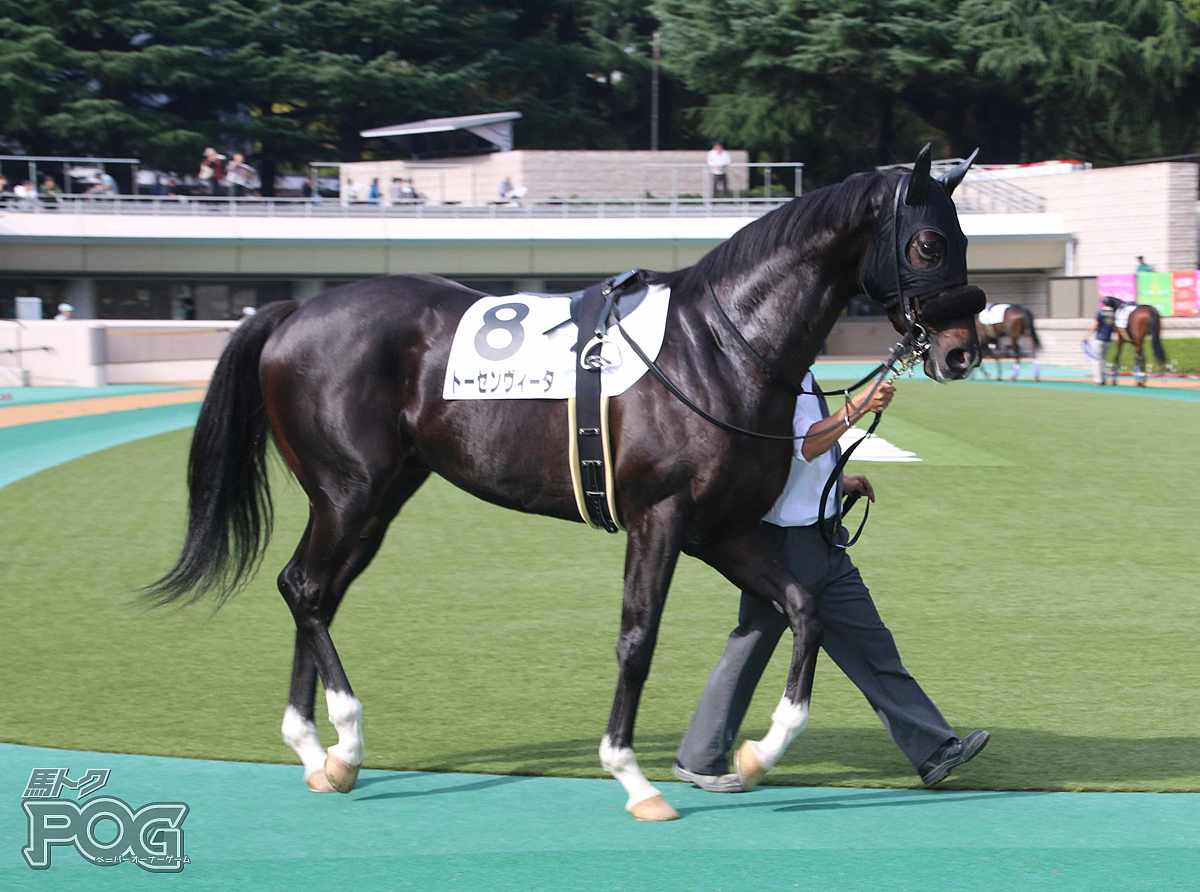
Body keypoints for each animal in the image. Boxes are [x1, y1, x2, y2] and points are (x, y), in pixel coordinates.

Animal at [142, 146, 984, 821]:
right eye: (929, 241)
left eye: (966, 240)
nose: (963, 349)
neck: (715, 347)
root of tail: (290, 313)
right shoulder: (660, 519)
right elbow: (637, 640)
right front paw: (633, 778)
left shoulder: (723, 530)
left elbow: (806, 610)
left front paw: (753, 755)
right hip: (351, 492)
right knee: (308, 590)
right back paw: (343, 738)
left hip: (375, 498)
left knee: (310, 590)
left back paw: (319, 753)